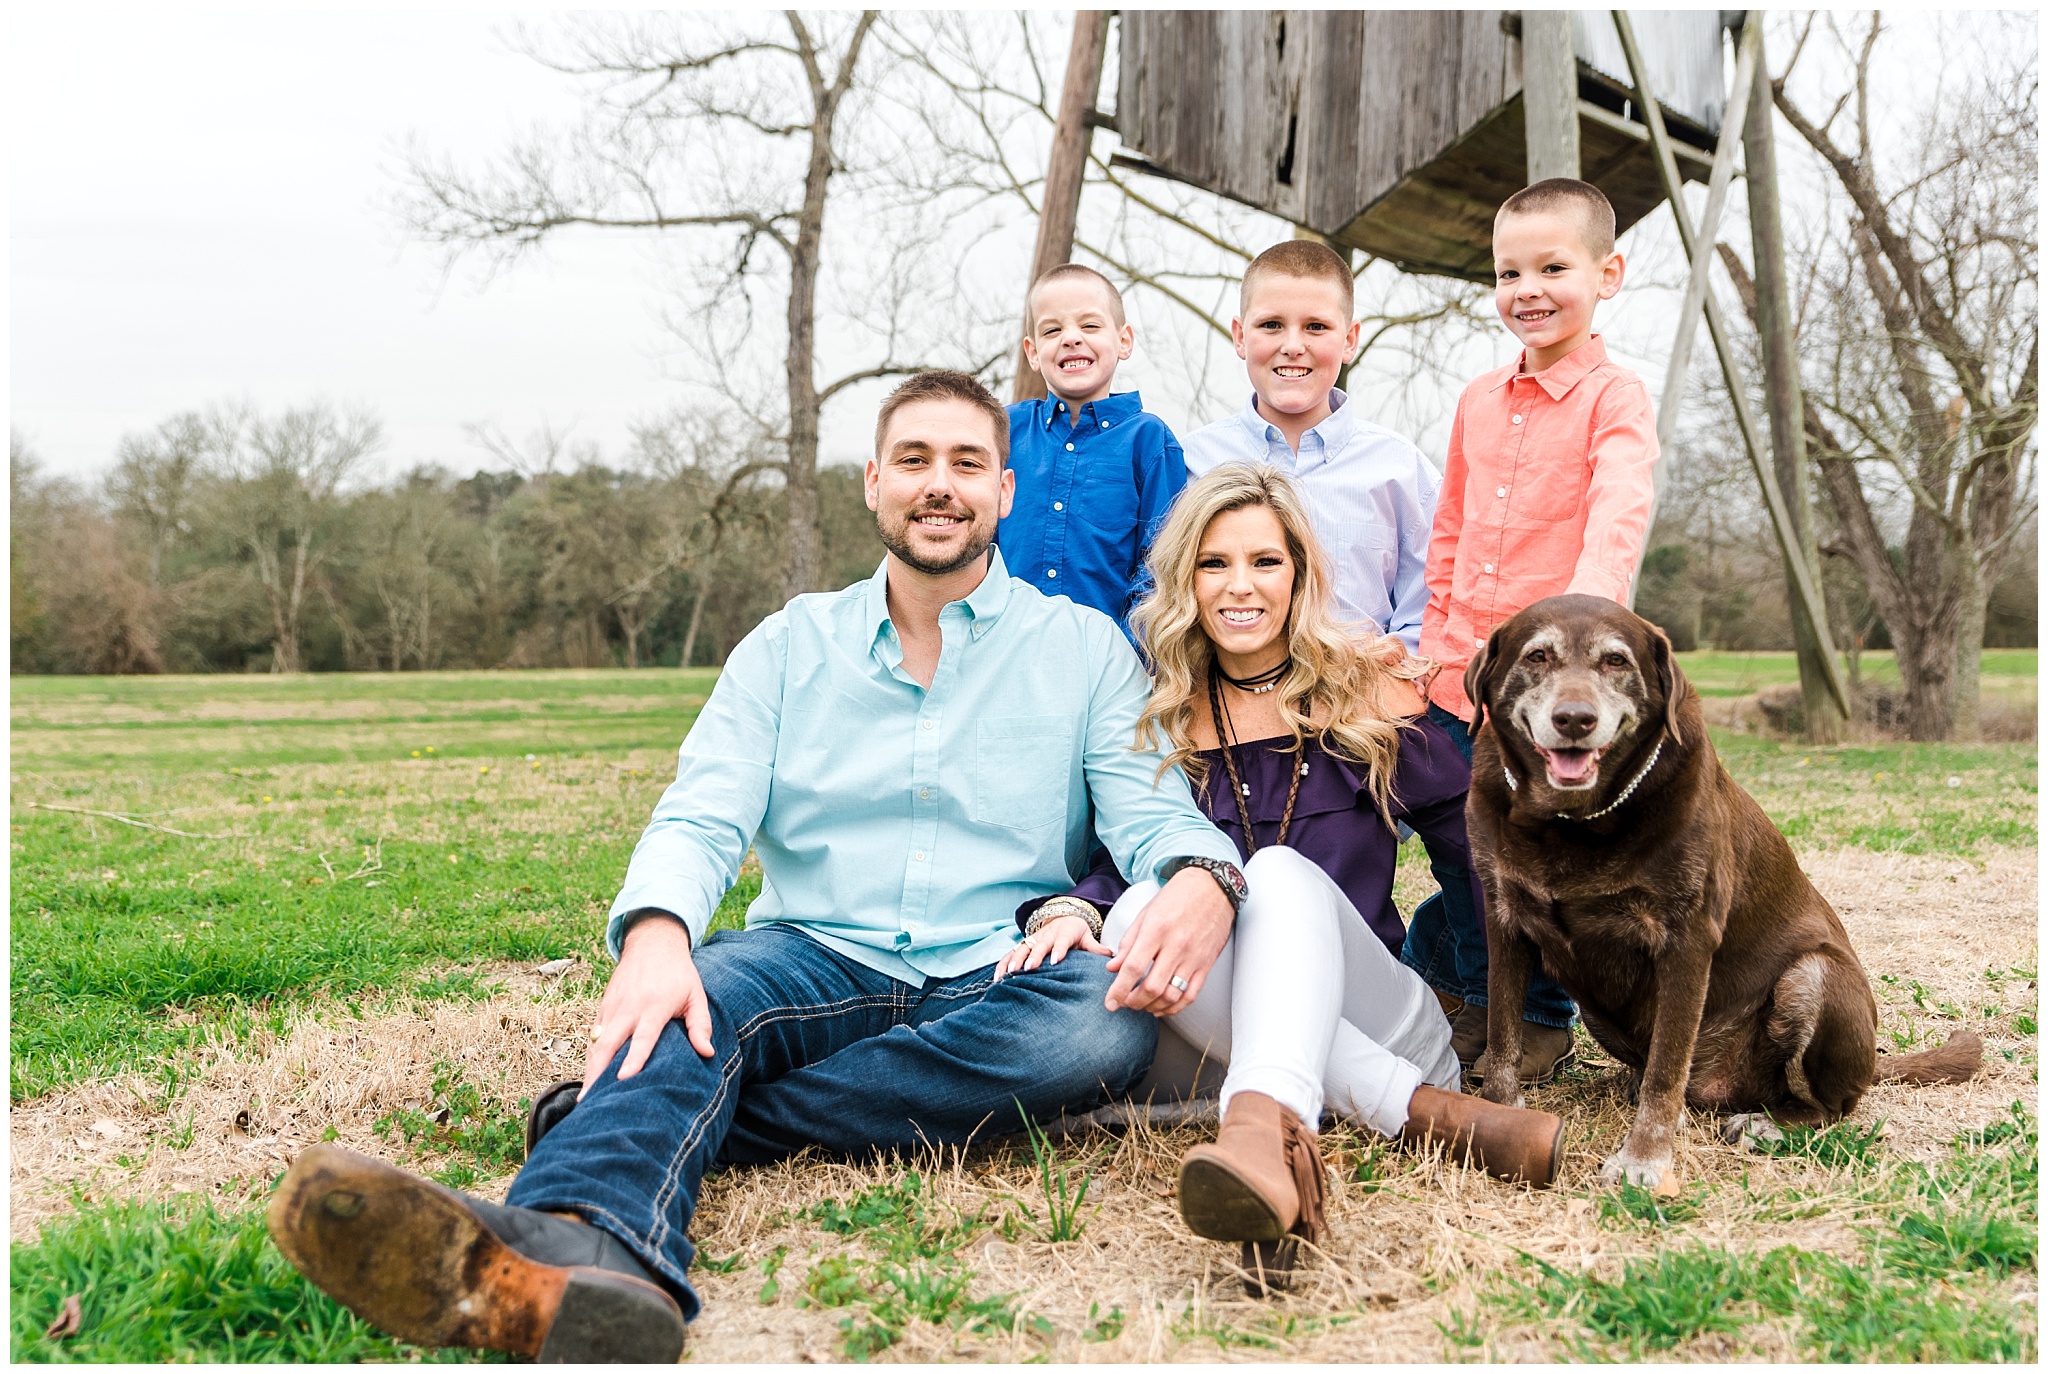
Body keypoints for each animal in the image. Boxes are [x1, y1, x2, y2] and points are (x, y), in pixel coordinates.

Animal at [1466, 597, 1974, 1187]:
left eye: (1615, 661)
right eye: (1538, 656)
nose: (1575, 719)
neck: (1571, 823)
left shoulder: (1686, 940)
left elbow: (1667, 1069)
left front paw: (1644, 1160)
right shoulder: (1504, 921)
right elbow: (1502, 1036)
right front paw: (1498, 1116)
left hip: (1815, 977)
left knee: (1830, 1107)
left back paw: (1767, 1124)